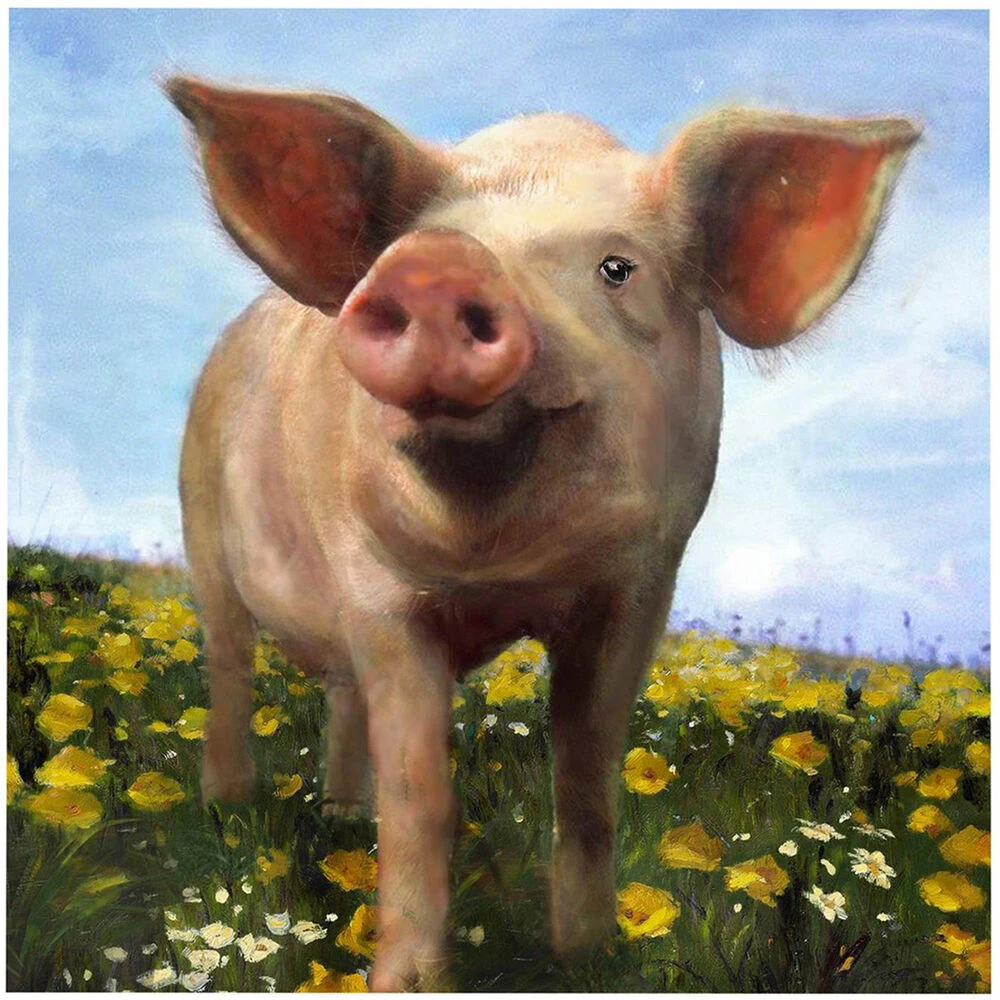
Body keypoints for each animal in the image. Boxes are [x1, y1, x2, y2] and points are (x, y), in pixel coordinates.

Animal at [166, 75, 918, 990]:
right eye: (412, 245)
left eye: (617, 268)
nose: (436, 259)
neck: (504, 570)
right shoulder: (377, 589)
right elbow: (420, 793)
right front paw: (408, 984)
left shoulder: (641, 586)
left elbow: (587, 775)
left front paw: (590, 956)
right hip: (200, 522)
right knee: (231, 669)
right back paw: (228, 807)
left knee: (340, 699)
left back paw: (341, 814)